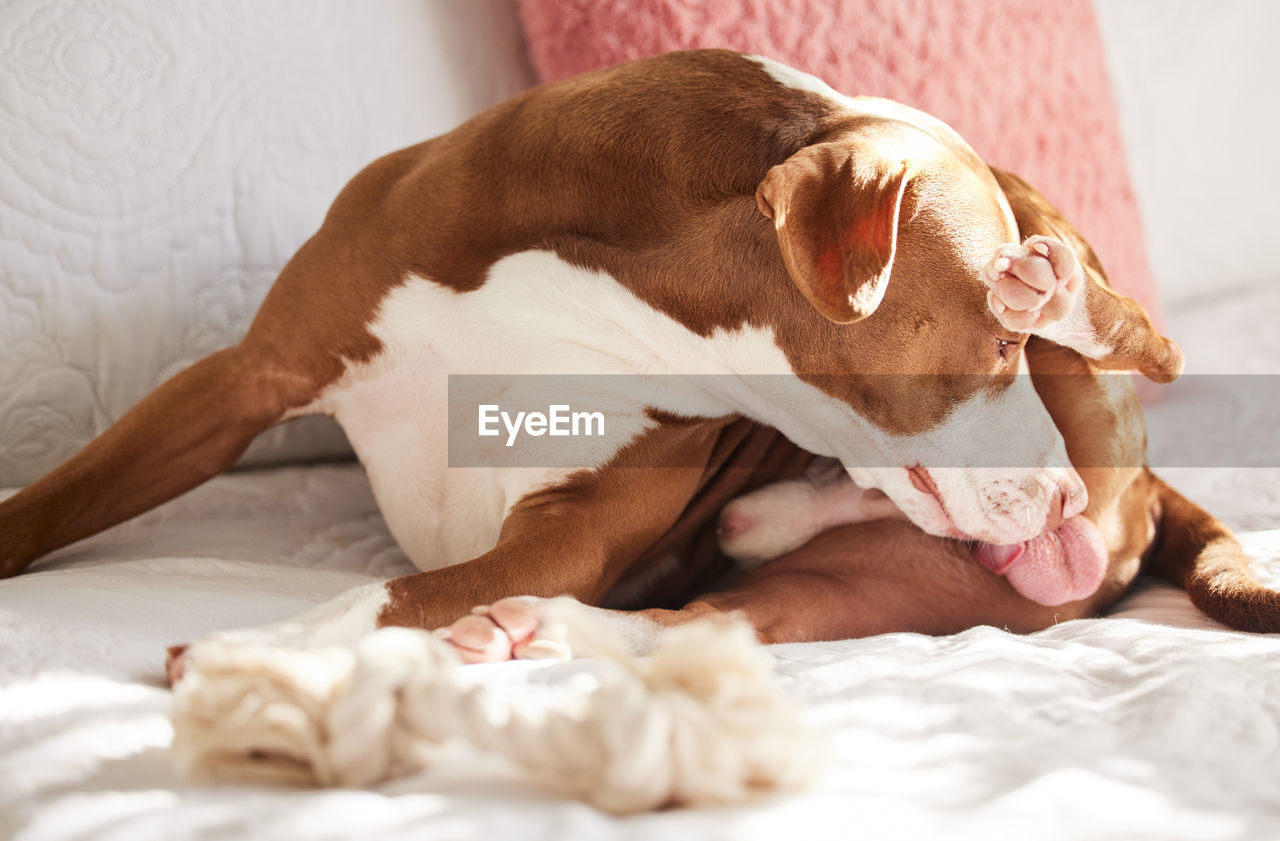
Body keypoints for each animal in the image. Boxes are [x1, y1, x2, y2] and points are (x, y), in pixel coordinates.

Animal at [0, 49, 1239, 670]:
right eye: (996, 346)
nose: (1055, 498)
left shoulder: (568, 533)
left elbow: (400, 592)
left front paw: (278, 642)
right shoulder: (241, 379)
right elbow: (53, 498)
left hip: (908, 573)